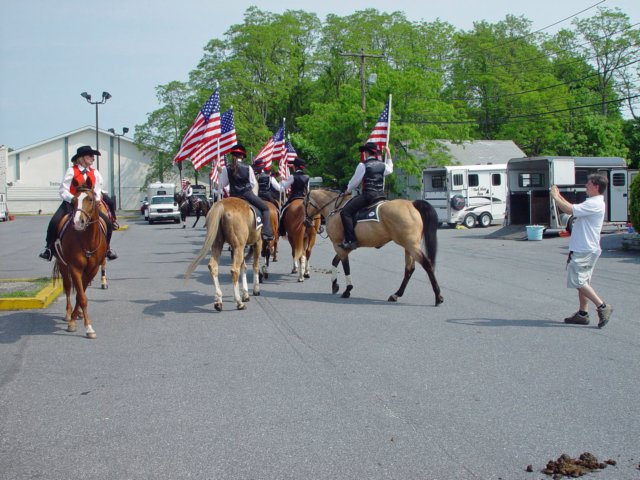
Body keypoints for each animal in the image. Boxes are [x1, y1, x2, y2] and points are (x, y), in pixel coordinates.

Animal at [52, 178, 108, 340]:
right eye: (74, 200)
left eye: (90, 199)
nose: (78, 222)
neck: (87, 240)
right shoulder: (75, 268)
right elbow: (81, 297)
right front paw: (80, 325)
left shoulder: (92, 269)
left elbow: (81, 294)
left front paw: (80, 320)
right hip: (63, 265)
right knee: (68, 286)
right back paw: (68, 314)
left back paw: (78, 314)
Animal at [304, 189, 444, 306]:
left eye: (304, 203)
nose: (306, 222)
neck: (335, 208)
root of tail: (412, 203)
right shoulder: (344, 247)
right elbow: (334, 261)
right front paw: (334, 284)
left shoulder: (339, 246)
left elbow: (345, 267)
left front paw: (347, 290)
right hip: (409, 247)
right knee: (409, 270)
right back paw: (396, 295)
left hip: (411, 246)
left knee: (427, 265)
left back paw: (438, 297)